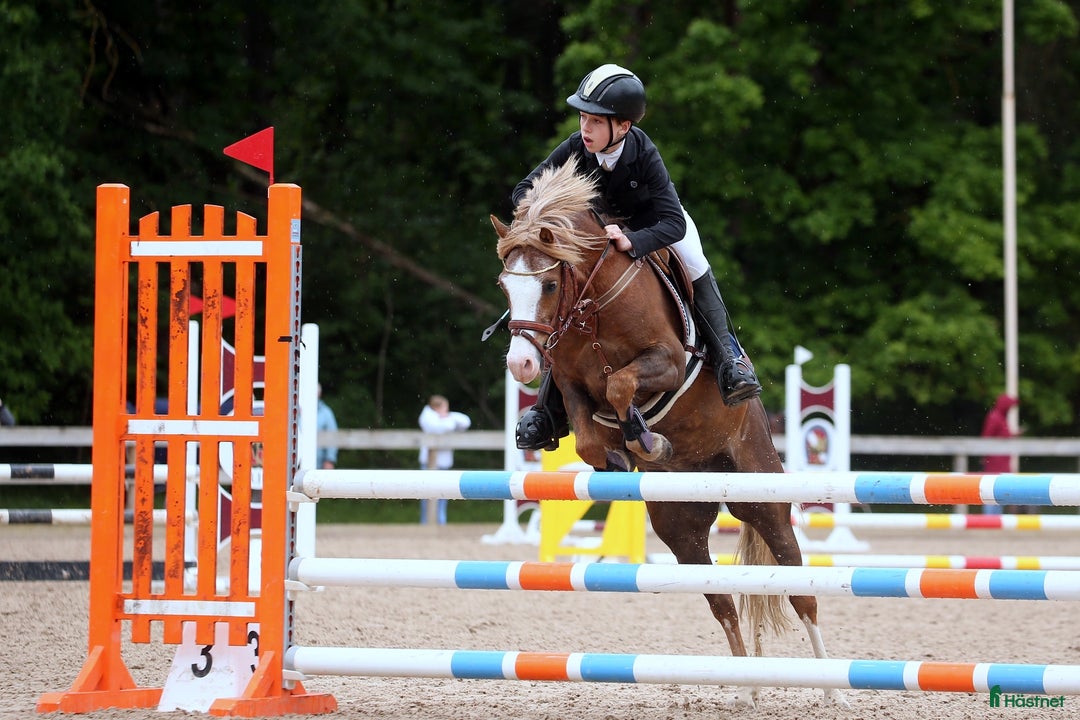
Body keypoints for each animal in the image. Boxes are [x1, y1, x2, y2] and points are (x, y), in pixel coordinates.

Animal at [491, 161, 847, 708]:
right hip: (681, 527)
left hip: (763, 499)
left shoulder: (668, 362)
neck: (594, 303)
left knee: (800, 590)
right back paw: (746, 690)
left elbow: (620, 384)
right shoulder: (571, 383)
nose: (522, 365)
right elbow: (589, 432)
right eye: (505, 287)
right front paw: (621, 452)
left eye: (549, 285)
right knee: (722, 601)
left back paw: (832, 689)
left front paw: (645, 438)